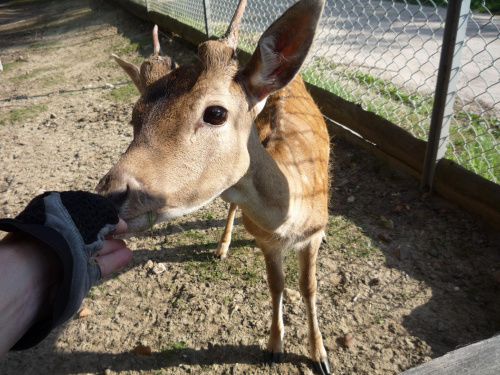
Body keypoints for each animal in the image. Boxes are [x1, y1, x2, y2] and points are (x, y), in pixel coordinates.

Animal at [97, 0, 332, 374]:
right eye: (135, 115)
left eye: (216, 113)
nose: (110, 194)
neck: (290, 217)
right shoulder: (266, 241)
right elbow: (276, 286)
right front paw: (274, 347)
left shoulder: (314, 233)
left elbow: (308, 287)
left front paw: (320, 355)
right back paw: (222, 246)